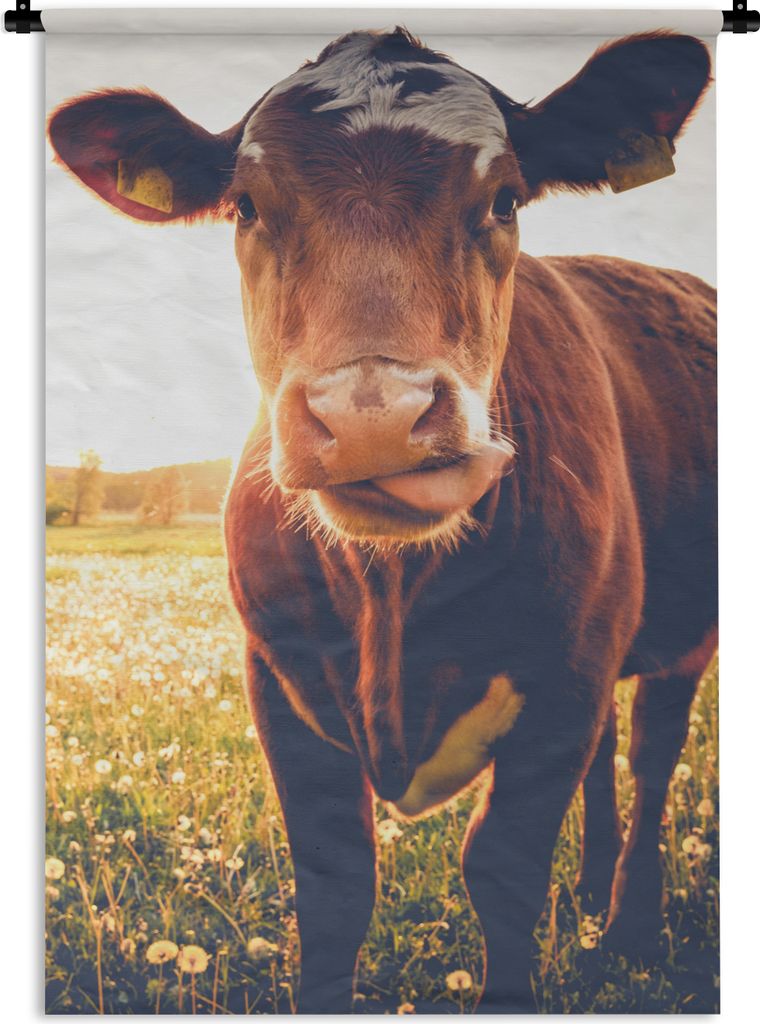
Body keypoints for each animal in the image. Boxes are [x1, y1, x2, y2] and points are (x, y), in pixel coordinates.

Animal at [48, 28, 717, 1012]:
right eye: (246, 205)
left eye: (505, 197)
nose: (373, 416)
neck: (392, 597)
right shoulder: (276, 679)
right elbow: (335, 887)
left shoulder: (566, 677)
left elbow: (503, 871)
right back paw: (593, 894)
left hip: (676, 639)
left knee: (652, 755)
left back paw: (629, 925)